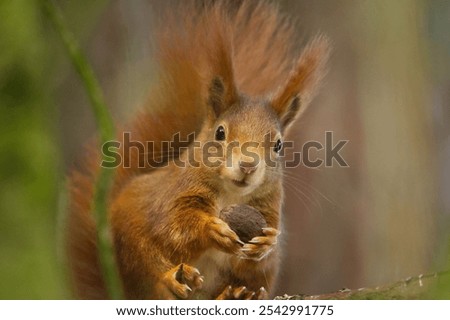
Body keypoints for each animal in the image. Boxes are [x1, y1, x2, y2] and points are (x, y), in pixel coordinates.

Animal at [67, 0, 328, 300]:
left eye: (278, 144)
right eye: (220, 133)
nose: (248, 165)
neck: (230, 195)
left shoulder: (269, 208)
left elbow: (259, 257)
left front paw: (266, 243)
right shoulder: (175, 194)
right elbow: (174, 225)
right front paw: (211, 230)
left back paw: (238, 294)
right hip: (133, 246)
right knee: (152, 271)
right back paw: (170, 281)